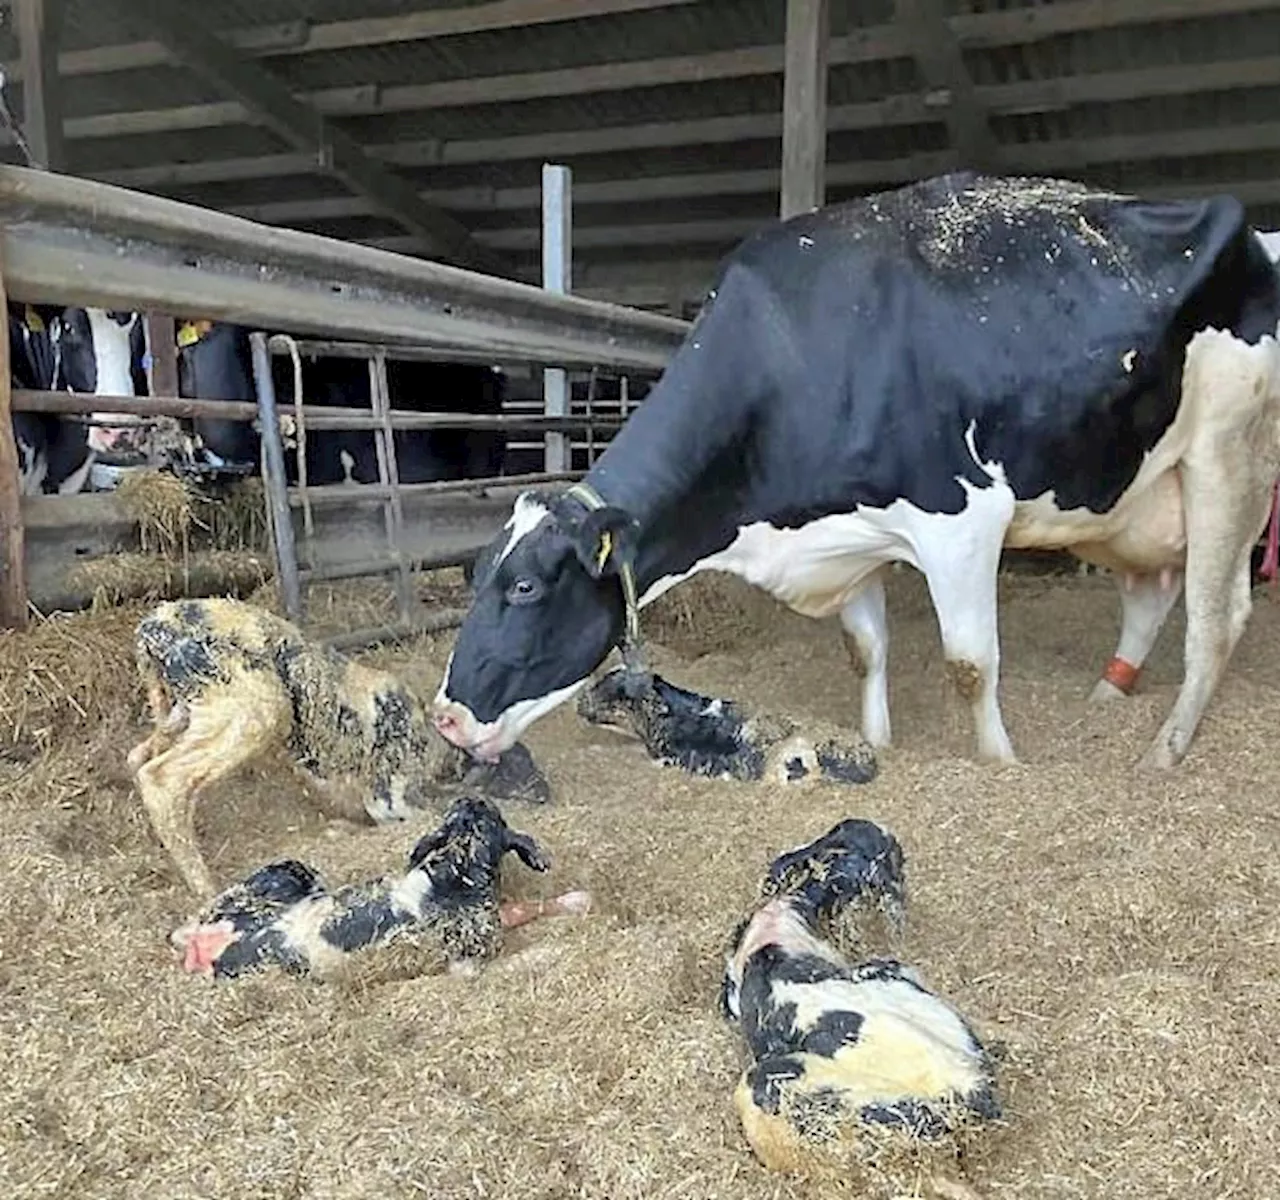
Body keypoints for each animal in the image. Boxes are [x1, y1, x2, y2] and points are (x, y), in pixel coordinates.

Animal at [127, 593, 552, 895]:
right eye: (517, 765)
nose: (548, 795)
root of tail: (153, 627)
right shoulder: (387, 794)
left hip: (182, 712)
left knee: (139, 757)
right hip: (250, 709)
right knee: (162, 778)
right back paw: (205, 886)